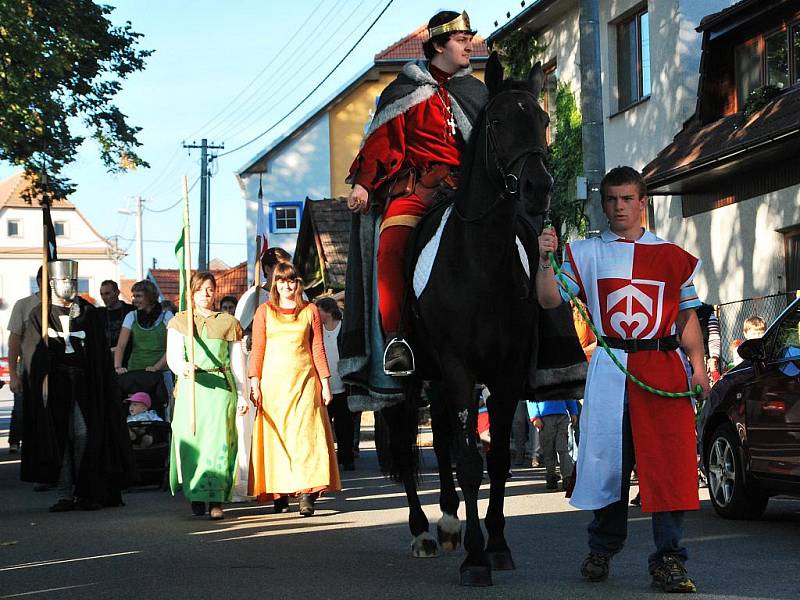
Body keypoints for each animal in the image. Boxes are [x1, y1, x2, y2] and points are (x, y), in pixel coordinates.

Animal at [382, 52, 552, 584]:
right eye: (497, 122)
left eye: (543, 120)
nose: (539, 188)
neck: (479, 261)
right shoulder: (459, 370)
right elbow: (470, 461)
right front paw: (477, 558)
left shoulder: (506, 373)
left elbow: (494, 459)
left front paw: (496, 544)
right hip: (415, 380)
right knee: (410, 449)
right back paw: (423, 531)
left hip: (439, 382)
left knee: (438, 442)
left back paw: (450, 522)